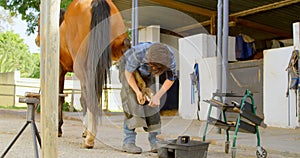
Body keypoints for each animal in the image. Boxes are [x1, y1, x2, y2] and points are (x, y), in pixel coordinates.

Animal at [35, 0, 130, 148]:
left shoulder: (60, 70)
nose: (37, 40)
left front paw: (59, 129)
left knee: (88, 96)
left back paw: (90, 138)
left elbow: (60, 97)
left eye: (39, 23)